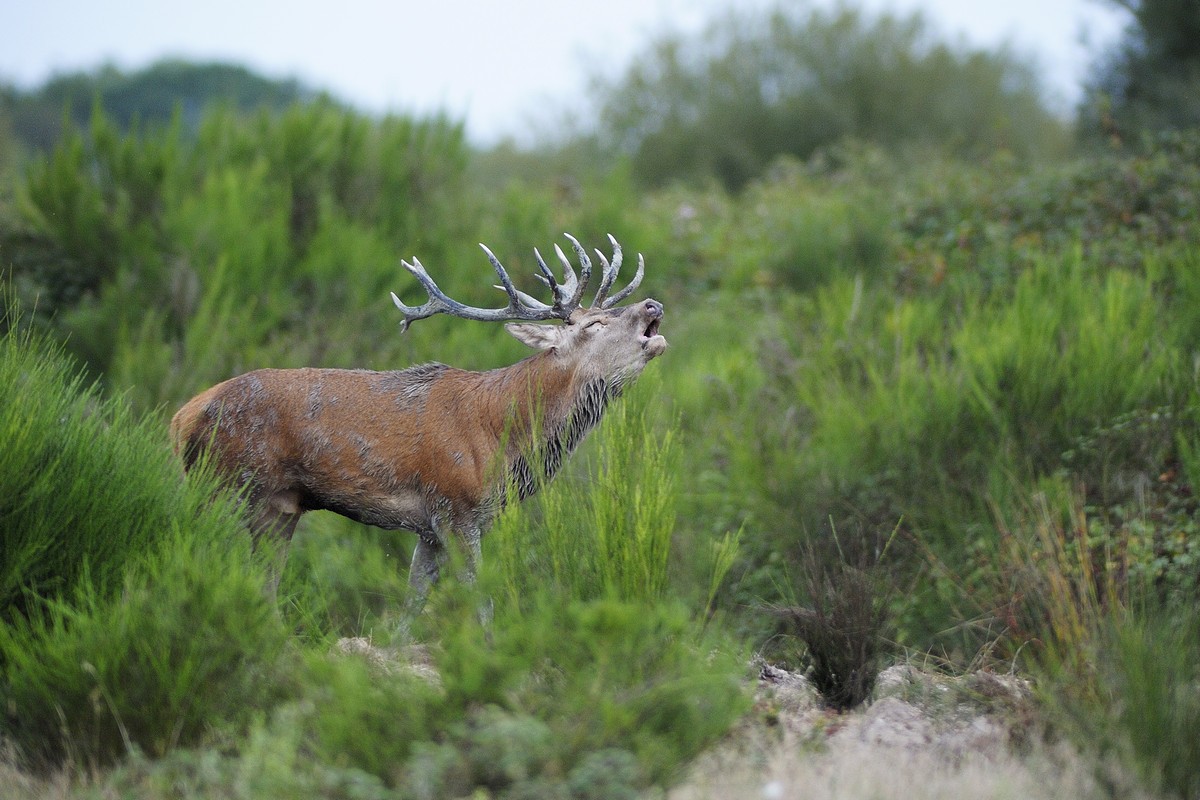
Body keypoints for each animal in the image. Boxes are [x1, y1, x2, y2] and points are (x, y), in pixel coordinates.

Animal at [171, 235, 667, 618]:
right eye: (595, 323)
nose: (652, 303)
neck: (503, 439)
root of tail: (181, 416)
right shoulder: (455, 507)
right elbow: (479, 601)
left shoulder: (431, 526)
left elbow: (411, 606)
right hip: (226, 483)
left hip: (278, 507)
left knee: (265, 584)